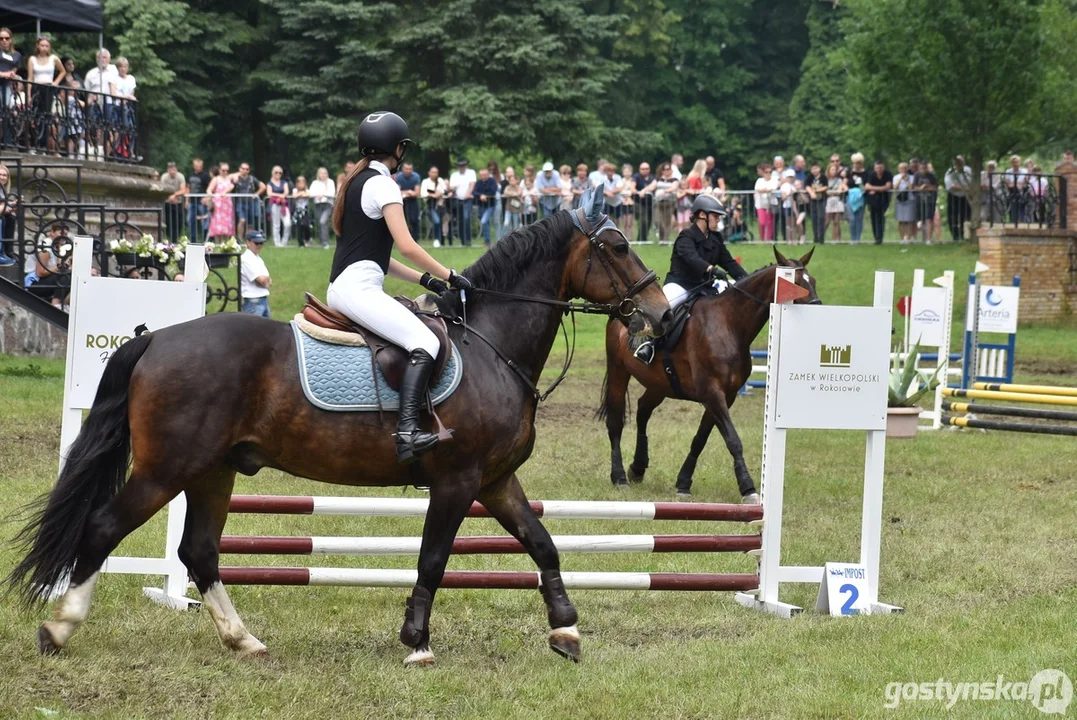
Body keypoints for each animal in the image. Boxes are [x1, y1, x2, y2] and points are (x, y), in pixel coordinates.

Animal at [8, 201, 667, 662]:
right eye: (616, 247)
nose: (661, 314)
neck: (491, 346)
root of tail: (155, 338)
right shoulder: (457, 481)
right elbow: (433, 559)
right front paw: (417, 642)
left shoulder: (496, 481)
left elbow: (543, 544)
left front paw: (567, 629)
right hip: (165, 470)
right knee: (104, 528)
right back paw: (59, 627)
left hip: (211, 471)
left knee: (199, 550)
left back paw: (243, 640)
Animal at [598, 244, 814, 497]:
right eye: (797, 283)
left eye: (813, 281)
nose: (820, 307)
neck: (729, 324)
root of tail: (622, 308)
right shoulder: (712, 393)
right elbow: (733, 439)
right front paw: (748, 487)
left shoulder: (726, 396)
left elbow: (700, 439)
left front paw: (683, 482)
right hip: (618, 371)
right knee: (616, 421)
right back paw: (620, 476)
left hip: (660, 383)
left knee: (643, 411)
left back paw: (638, 467)